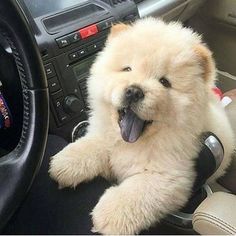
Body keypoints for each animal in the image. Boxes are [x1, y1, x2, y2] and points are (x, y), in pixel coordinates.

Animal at [48, 18, 235, 234]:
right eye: (127, 69)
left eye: (164, 82)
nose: (134, 91)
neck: (131, 143)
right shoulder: (105, 136)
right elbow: (92, 145)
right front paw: (64, 164)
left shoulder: (169, 176)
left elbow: (135, 194)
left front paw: (107, 217)